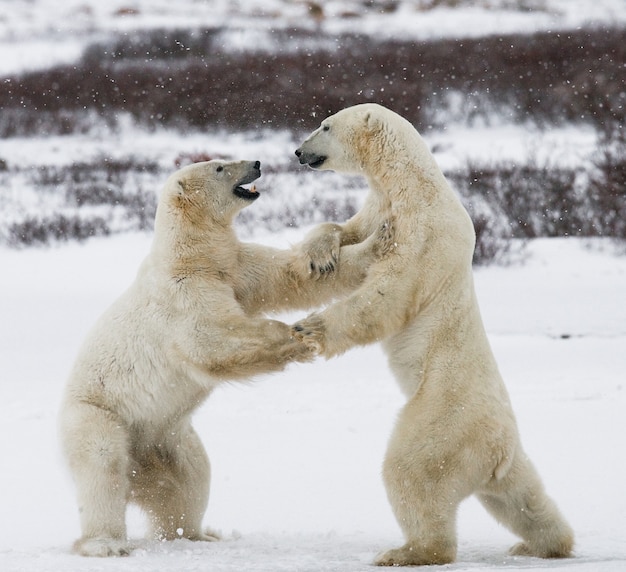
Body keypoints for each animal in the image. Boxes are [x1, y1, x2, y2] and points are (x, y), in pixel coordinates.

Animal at [59, 159, 390, 556]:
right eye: (219, 167)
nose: (256, 163)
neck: (191, 255)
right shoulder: (183, 292)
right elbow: (210, 338)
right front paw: (293, 337)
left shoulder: (235, 267)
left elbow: (292, 275)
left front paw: (380, 237)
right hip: (100, 415)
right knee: (103, 468)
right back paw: (106, 544)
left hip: (168, 438)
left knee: (190, 478)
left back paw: (196, 533)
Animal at [292, 104, 572, 568]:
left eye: (326, 125)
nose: (298, 151)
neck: (409, 184)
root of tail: (495, 450)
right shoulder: (377, 206)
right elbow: (345, 229)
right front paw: (321, 254)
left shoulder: (422, 232)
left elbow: (387, 294)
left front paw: (308, 328)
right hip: (505, 458)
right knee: (522, 499)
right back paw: (544, 543)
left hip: (442, 422)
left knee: (412, 471)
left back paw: (406, 551)